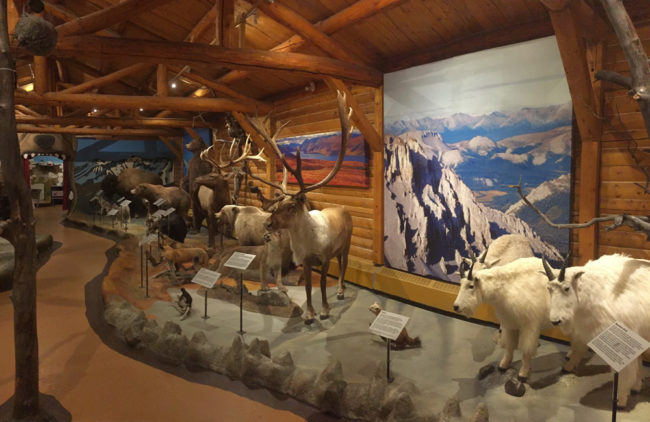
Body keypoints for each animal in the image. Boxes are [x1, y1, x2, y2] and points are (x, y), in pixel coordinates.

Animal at [244, 91, 354, 324]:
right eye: (277, 203)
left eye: (292, 205)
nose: (267, 223)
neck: (306, 242)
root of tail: (343, 208)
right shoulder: (305, 260)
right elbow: (308, 287)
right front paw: (309, 314)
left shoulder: (324, 258)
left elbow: (323, 285)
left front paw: (324, 310)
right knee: (341, 263)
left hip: (346, 244)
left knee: (344, 264)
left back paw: (341, 290)